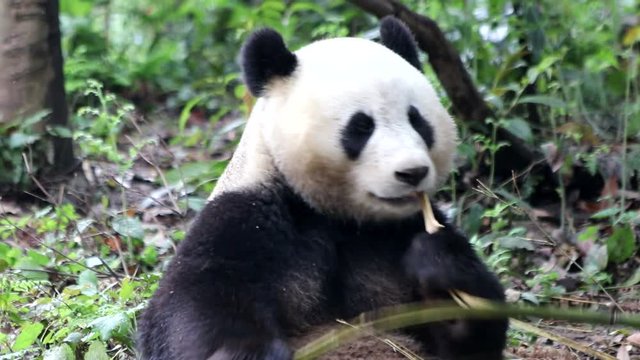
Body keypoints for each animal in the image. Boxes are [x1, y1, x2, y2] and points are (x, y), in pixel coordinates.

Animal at [138, 16, 508, 360]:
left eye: (418, 121)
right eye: (361, 127)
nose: (412, 172)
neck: (337, 216)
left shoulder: (397, 233)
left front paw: (441, 267)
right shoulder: (247, 217)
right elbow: (190, 303)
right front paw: (247, 351)